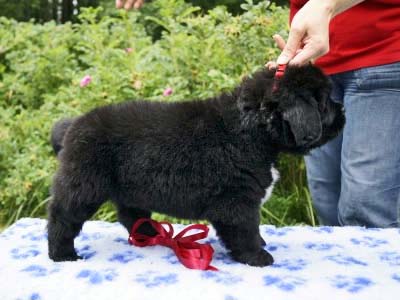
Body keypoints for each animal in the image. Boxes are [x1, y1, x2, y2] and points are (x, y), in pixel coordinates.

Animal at [48, 64, 346, 266]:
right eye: (323, 103)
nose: (342, 111)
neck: (251, 129)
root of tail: (73, 125)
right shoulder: (238, 201)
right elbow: (246, 229)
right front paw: (257, 255)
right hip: (83, 185)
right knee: (62, 216)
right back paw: (62, 254)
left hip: (130, 188)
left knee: (131, 215)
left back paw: (151, 233)